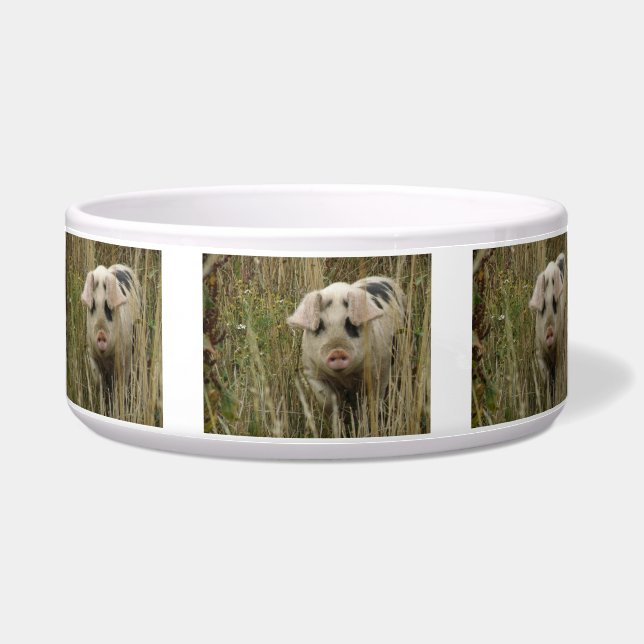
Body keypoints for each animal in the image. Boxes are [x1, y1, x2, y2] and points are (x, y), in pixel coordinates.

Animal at [287, 276, 406, 414]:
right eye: (320, 325)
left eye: (351, 324)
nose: (337, 351)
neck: (345, 378)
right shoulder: (312, 372)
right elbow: (326, 400)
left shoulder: (381, 369)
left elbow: (375, 398)